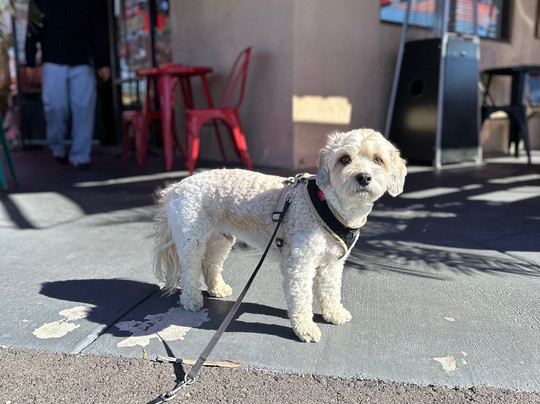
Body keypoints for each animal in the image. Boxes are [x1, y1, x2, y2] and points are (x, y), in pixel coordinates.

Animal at [153, 128, 406, 342]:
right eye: (344, 159)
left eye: (378, 160)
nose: (363, 177)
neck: (331, 205)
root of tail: (177, 187)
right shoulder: (300, 264)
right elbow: (301, 299)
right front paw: (305, 329)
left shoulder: (332, 264)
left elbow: (330, 291)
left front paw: (334, 313)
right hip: (192, 241)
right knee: (189, 272)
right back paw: (191, 300)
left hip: (220, 239)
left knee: (210, 264)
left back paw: (217, 288)